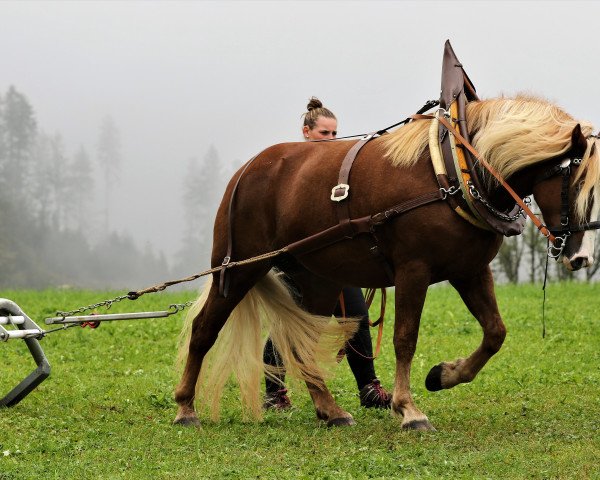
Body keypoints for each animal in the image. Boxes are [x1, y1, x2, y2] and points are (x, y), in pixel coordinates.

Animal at [173, 94, 600, 432]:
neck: (453, 170)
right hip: (238, 268)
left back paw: (330, 410)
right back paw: (185, 407)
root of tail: (246, 171)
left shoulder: (470, 271)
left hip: (316, 279)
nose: (582, 257)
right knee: (204, 329)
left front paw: (444, 375)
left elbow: (495, 332)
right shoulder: (414, 270)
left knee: (299, 342)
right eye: (577, 184)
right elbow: (405, 338)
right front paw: (408, 409)